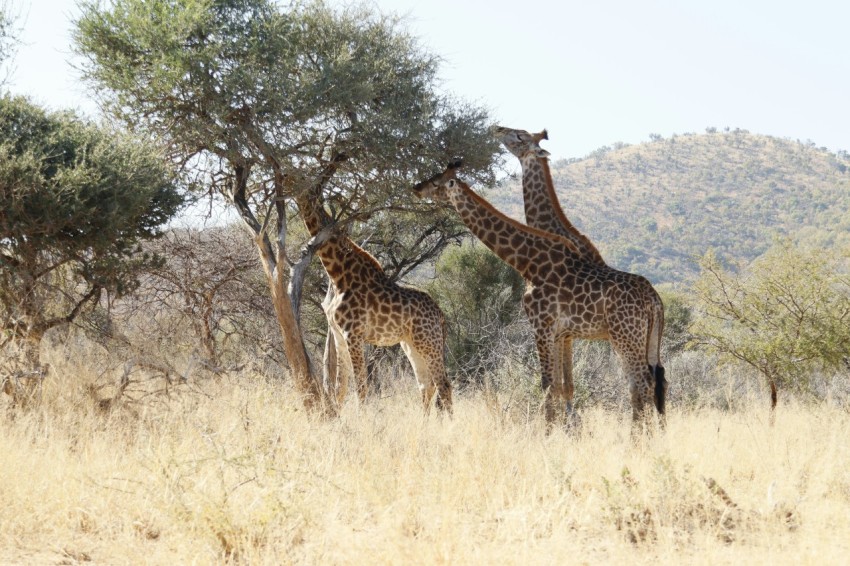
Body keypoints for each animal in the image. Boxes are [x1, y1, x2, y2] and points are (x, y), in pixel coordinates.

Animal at [294, 190, 452, 414]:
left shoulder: (353, 334)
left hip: (429, 342)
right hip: (411, 344)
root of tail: (440, 315)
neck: (338, 274)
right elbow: (340, 388)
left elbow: (361, 386)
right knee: (426, 384)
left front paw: (362, 418)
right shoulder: (339, 335)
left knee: (443, 384)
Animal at [412, 162, 665, 430]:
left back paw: (638, 436)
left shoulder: (541, 326)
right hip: (646, 337)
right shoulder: (559, 333)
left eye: (436, 182)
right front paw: (561, 429)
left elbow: (546, 385)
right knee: (650, 381)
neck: (529, 263)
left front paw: (547, 432)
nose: (416, 187)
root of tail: (654, 300)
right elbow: (558, 385)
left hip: (625, 337)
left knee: (642, 382)